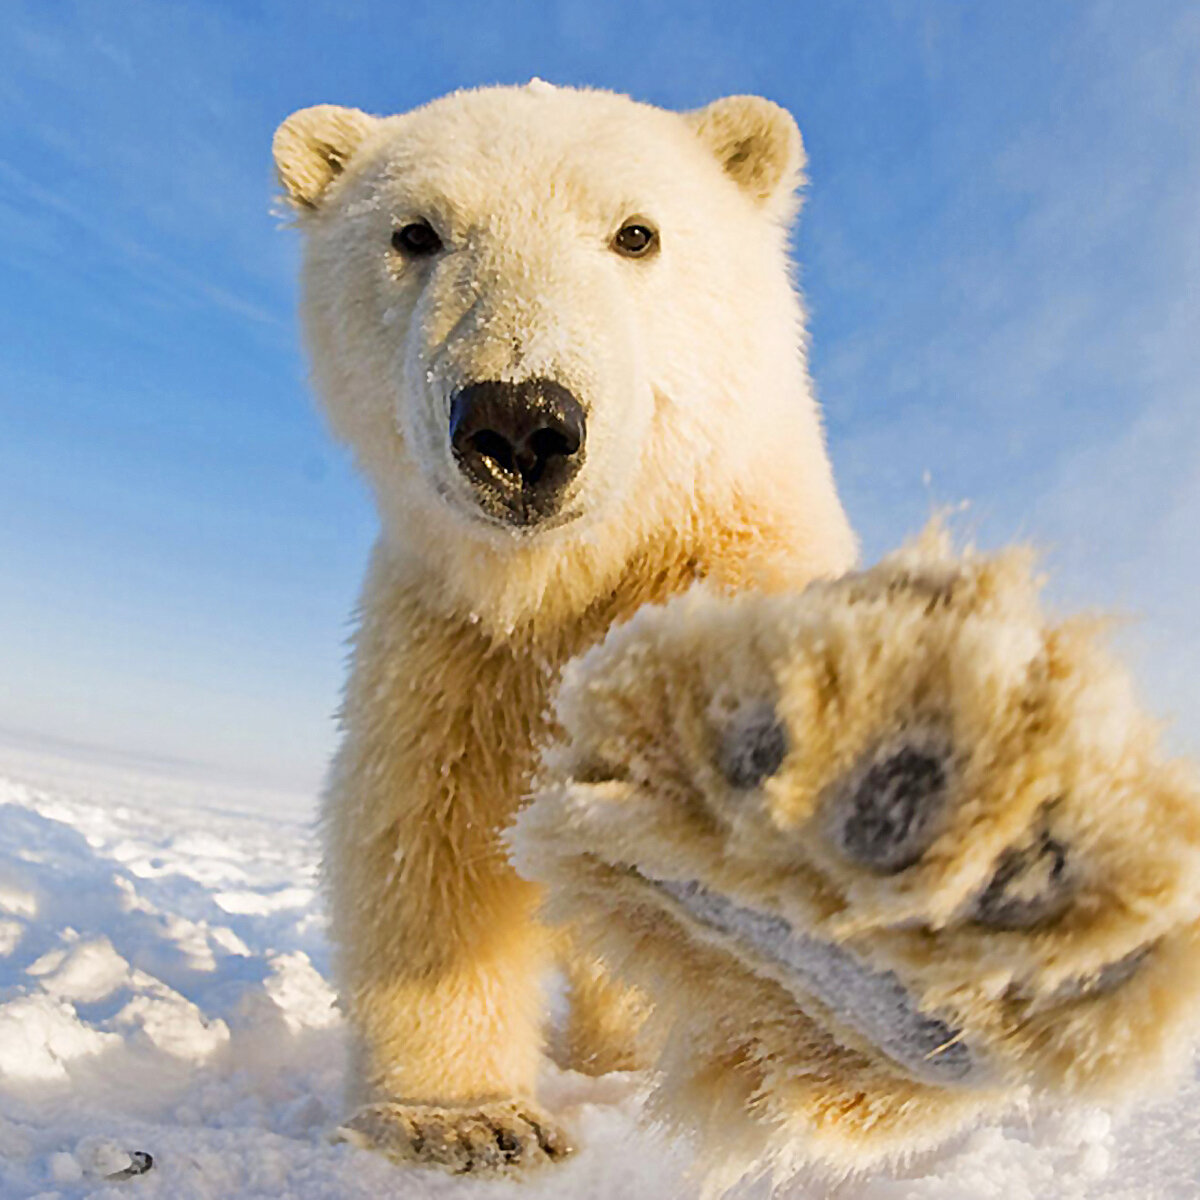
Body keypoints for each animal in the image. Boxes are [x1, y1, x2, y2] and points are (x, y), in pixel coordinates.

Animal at [274, 82, 854, 1171]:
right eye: (415, 232)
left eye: (636, 233)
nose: (518, 422)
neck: (571, 583)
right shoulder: (455, 651)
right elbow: (430, 846)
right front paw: (464, 1122)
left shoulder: (737, 599)